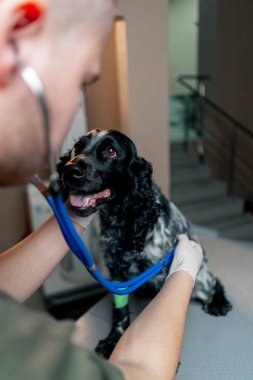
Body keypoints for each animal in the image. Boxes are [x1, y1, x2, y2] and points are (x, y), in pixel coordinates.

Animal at [58, 129, 232, 358]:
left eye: (111, 151)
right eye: (78, 147)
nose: (70, 170)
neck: (121, 222)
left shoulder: (163, 275)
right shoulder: (115, 272)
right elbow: (120, 311)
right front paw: (114, 339)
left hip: (201, 281)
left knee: (214, 282)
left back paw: (218, 303)